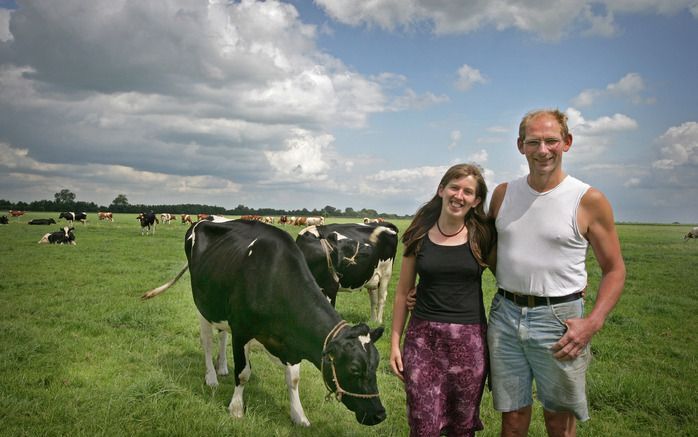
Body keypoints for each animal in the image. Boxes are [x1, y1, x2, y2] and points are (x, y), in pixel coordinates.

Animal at [141, 220, 386, 424]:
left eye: (376, 364)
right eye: (354, 369)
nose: (379, 414)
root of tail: (202, 221)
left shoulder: (291, 339)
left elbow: (293, 379)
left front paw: (299, 415)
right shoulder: (242, 330)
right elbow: (243, 373)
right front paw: (236, 408)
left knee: (222, 335)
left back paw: (222, 367)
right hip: (204, 303)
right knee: (208, 341)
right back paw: (211, 376)